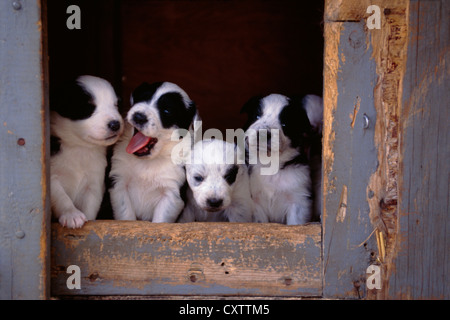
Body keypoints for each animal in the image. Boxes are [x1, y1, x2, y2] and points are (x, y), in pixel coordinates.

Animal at [50, 76, 124, 229]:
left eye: (115, 105)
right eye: (88, 107)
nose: (115, 124)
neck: (79, 147)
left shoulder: (94, 184)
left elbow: (90, 206)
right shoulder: (52, 178)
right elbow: (61, 197)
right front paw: (72, 215)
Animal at [241, 93, 322, 225]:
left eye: (284, 124)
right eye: (257, 116)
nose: (263, 133)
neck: (269, 163)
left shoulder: (298, 200)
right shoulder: (255, 202)